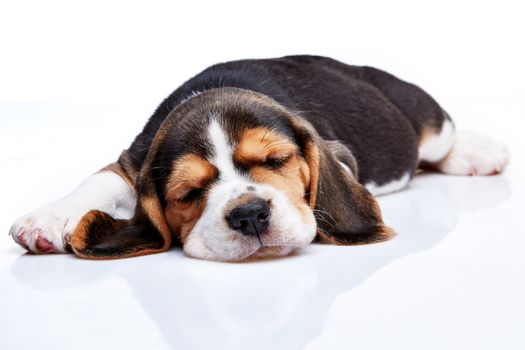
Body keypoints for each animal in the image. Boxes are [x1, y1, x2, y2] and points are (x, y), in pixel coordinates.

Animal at [8, 54, 508, 262]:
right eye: (188, 192)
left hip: (424, 121)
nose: (249, 215)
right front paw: (46, 219)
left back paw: (480, 151)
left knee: (440, 139)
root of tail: (352, 66)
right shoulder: (133, 158)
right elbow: (100, 181)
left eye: (277, 161)